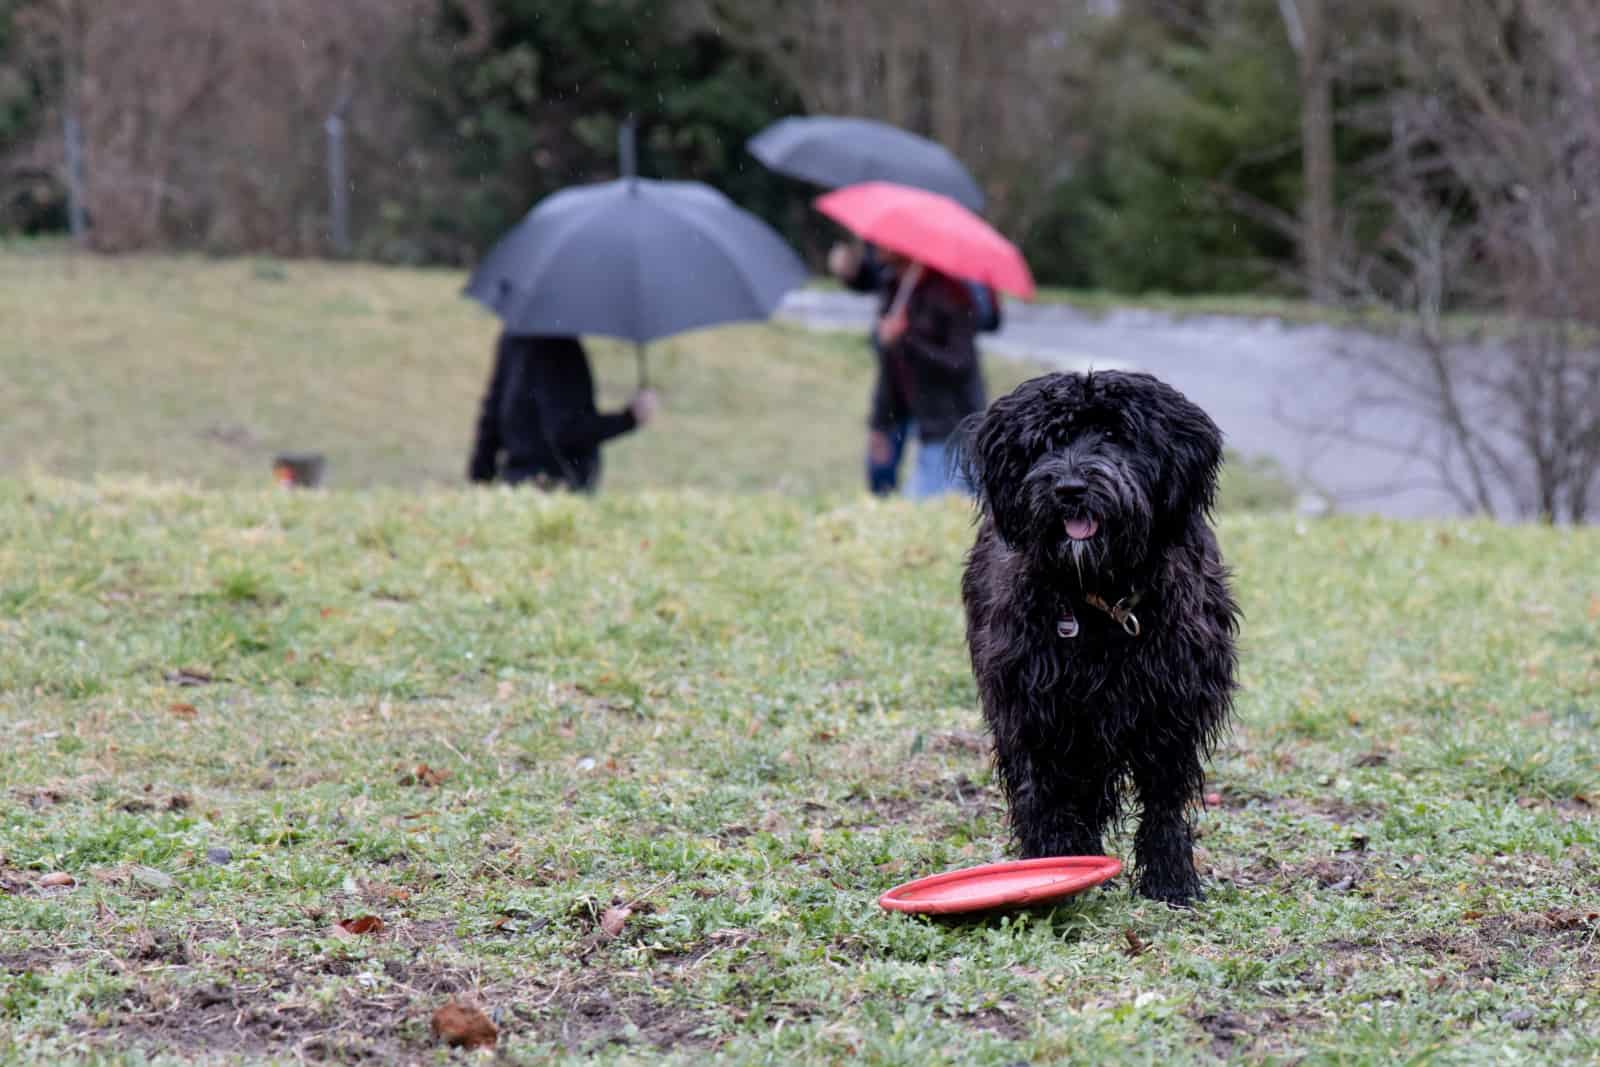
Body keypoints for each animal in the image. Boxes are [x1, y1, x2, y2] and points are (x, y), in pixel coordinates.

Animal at [960, 371, 1235, 908]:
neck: (1101, 602)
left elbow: (1165, 800)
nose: (1070, 487)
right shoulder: (1035, 711)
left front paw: (1170, 881)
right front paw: (1053, 867)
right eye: (1047, 441)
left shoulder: (1172, 711)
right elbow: (1045, 794)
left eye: (1115, 436)